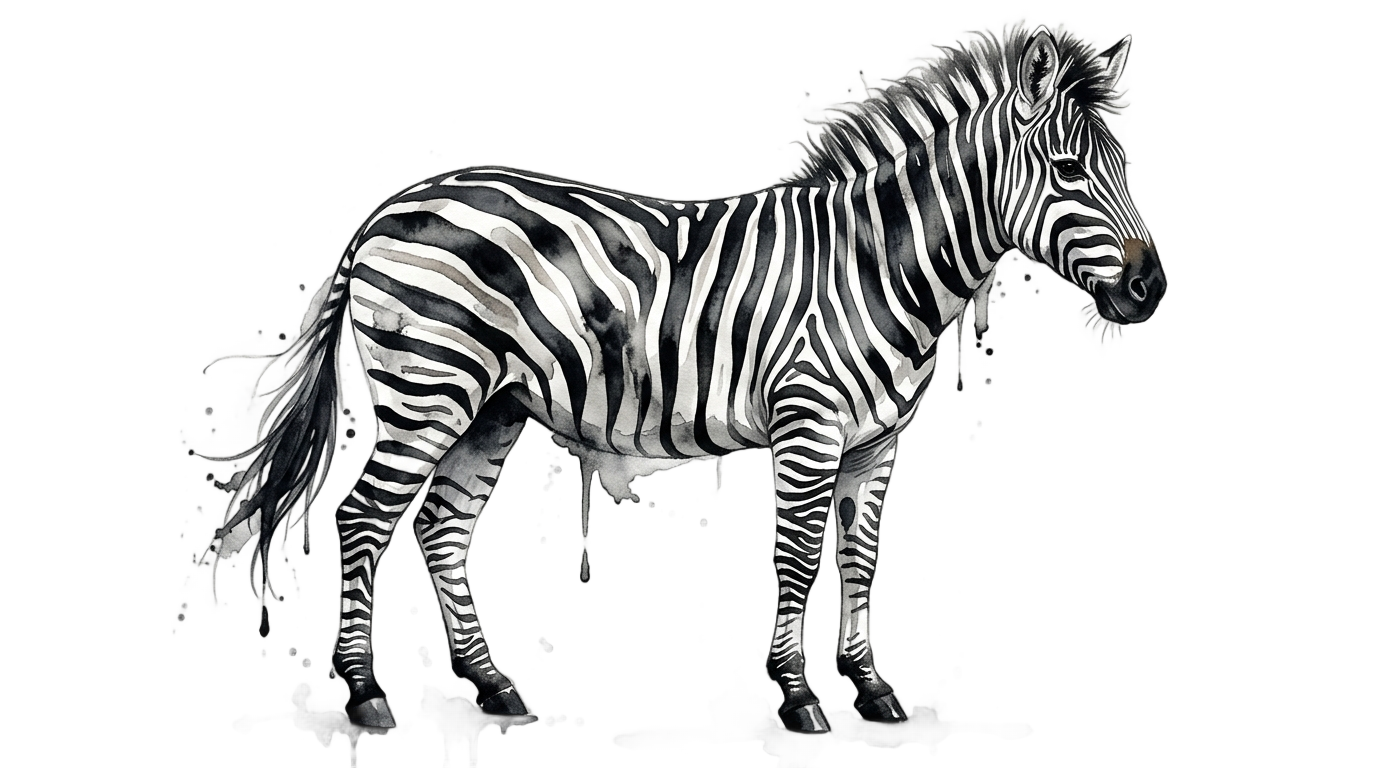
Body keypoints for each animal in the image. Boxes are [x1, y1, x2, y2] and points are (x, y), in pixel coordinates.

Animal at [201, 24, 1165, 735]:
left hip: (491, 408)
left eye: (1124, 171)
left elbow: (858, 556)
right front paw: (797, 696)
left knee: (440, 527)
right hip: (429, 391)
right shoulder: (808, 421)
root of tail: (389, 212)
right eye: (1071, 172)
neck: (871, 266)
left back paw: (495, 690)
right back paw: (364, 694)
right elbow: (798, 553)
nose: (1153, 286)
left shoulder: (877, 439)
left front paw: (870, 687)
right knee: (363, 520)